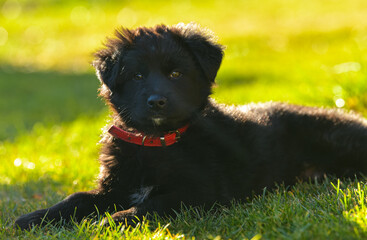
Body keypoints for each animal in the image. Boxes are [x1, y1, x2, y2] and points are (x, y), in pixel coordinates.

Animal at [14, 23, 367, 230]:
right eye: (137, 76)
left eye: (175, 74)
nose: (157, 101)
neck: (156, 143)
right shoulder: (114, 186)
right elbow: (77, 198)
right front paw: (36, 217)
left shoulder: (202, 190)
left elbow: (154, 203)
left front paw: (113, 221)